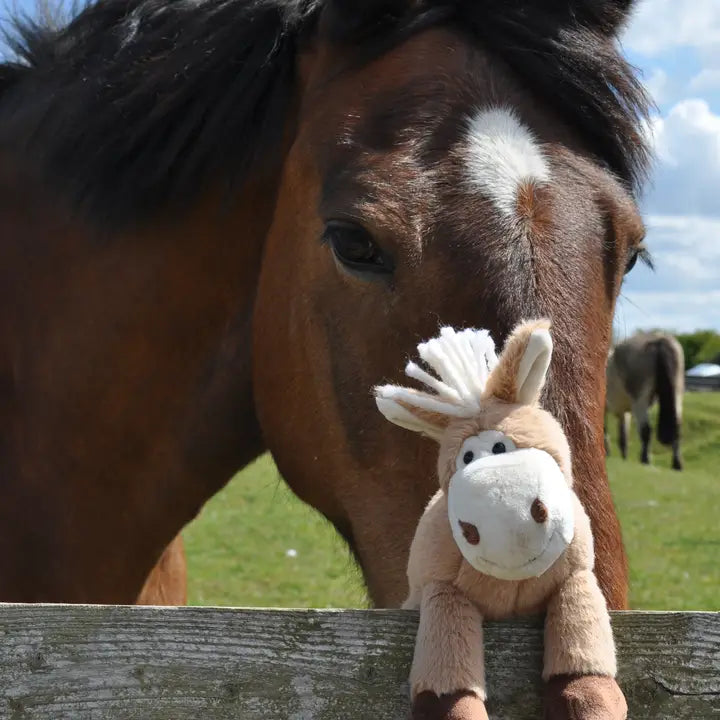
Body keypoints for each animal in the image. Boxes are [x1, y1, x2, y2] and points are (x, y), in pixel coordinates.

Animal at [605, 331, 685, 470]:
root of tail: (658, 339)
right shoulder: (624, 412)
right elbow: (623, 437)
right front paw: (623, 458)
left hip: (640, 400)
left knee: (645, 430)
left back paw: (645, 459)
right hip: (676, 394)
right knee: (677, 426)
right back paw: (676, 463)